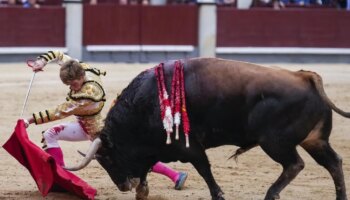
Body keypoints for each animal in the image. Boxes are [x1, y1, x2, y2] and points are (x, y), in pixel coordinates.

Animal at [67, 57, 348, 200]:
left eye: (109, 159)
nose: (123, 186)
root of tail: (306, 76)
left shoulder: (188, 146)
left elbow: (204, 169)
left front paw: (218, 195)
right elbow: (147, 168)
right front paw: (141, 191)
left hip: (275, 142)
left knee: (294, 164)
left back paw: (271, 194)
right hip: (315, 140)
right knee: (333, 163)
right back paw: (339, 197)